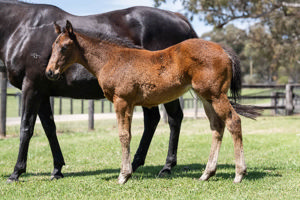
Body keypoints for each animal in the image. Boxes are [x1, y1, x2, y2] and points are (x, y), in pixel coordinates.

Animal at [1, 0, 198, 181]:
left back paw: (166, 167)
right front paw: (57, 169)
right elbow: (49, 128)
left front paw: (16, 172)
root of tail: (179, 18)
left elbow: (26, 128)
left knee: (174, 119)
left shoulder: (31, 87)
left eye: (64, 48)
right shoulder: (42, 92)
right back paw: (135, 164)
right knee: (152, 120)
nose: (50, 72)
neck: (23, 28)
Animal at [45, 20, 254, 184]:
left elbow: (124, 135)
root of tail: (223, 50)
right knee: (217, 126)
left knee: (233, 121)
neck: (111, 59)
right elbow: (128, 134)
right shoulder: (129, 104)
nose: (50, 72)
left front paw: (124, 175)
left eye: (64, 47)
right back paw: (206, 174)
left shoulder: (122, 101)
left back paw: (239, 173)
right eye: (52, 47)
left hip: (216, 95)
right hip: (206, 97)